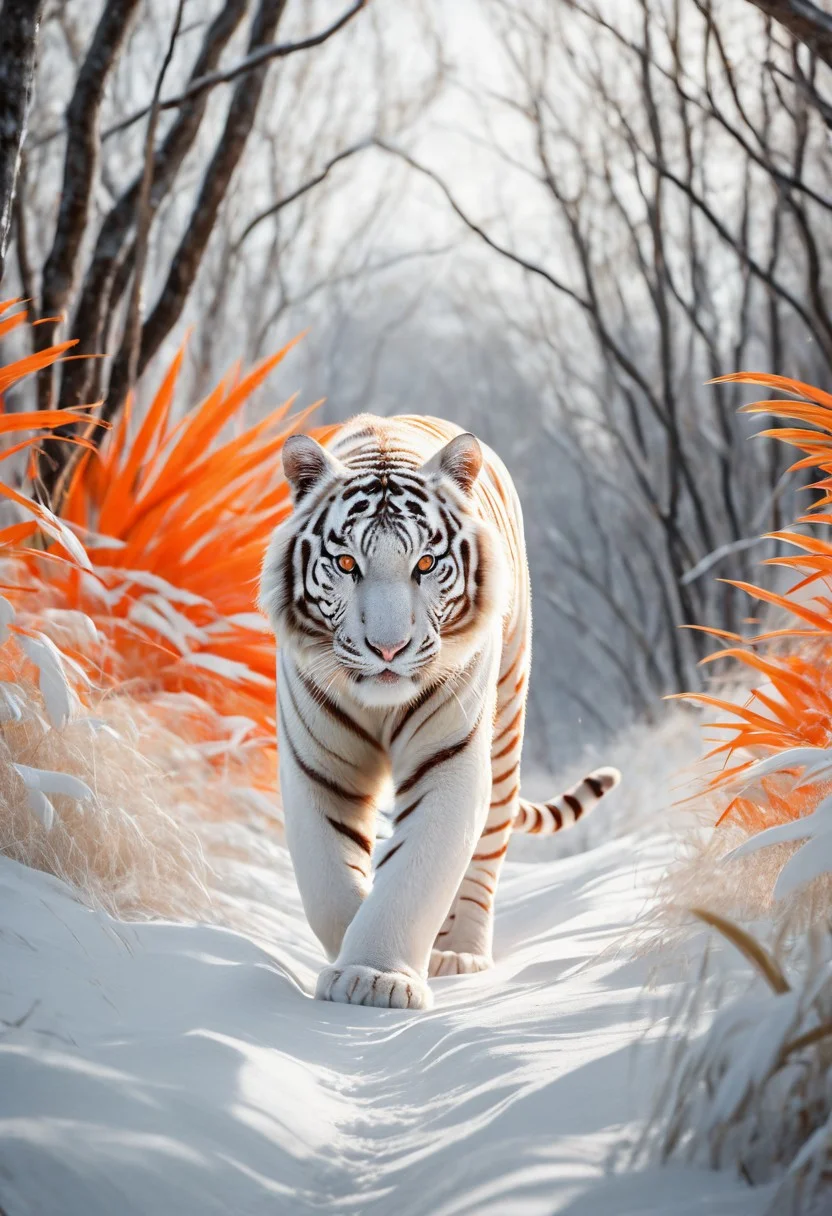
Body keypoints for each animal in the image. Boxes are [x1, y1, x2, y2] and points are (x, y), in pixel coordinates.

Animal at [259, 414, 621, 1010]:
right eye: (346, 563)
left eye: (425, 564)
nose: (387, 649)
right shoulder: (319, 765)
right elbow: (328, 880)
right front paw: (351, 957)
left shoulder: (449, 756)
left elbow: (417, 869)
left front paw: (375, 975)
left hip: (505, 730)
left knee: (487, 855)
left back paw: (459, 954)